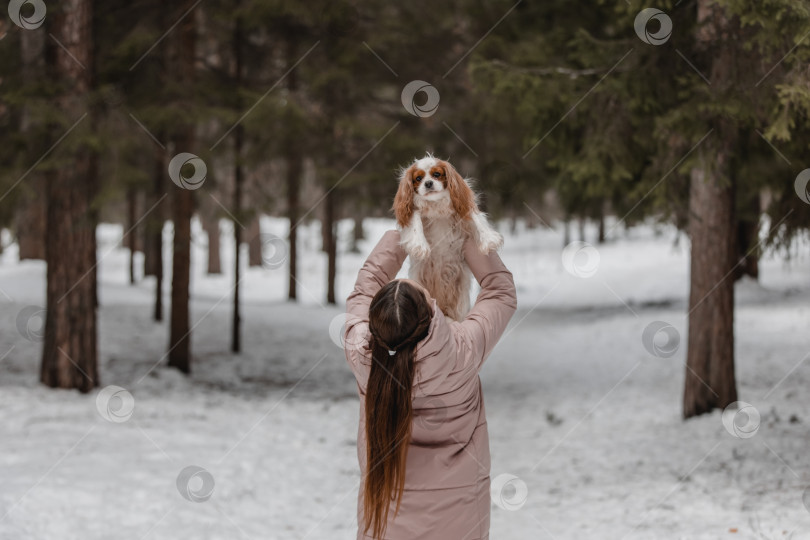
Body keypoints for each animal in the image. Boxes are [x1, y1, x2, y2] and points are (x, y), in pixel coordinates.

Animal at [390, 154, 498, 320]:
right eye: (418, 178)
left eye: (436, 174)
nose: (428, 183)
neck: (435, 206)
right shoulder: (411, 210)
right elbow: (415, 218)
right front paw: (419, 245)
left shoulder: (462, 207)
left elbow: (474, 216)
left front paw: (489, 240)